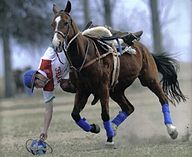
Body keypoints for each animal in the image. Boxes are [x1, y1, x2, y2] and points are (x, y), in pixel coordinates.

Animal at [51, 1, 186, 145]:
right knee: (129, 108)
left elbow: (105, 114)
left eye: (65, 22)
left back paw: (172, 129)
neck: (86, 56)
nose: (56, 43)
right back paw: (113, 127)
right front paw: (96, 128)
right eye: (53, 24)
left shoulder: (103, 88)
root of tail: (145, 49)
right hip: (116, 90)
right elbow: (75, 115)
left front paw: (109, 139)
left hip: (149, 80)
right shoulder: (82, 90)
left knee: (163, 99)